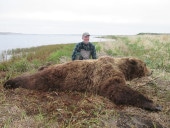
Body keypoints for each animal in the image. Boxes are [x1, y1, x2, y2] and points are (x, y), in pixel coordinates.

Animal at [3, 56, 161, 111]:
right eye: (145, 64)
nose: (152, 71)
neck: (120, 66)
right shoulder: (106, 72)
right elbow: (116, 89)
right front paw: (153, 104)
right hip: (51, 78)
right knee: (31, 79)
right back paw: (9, 82)